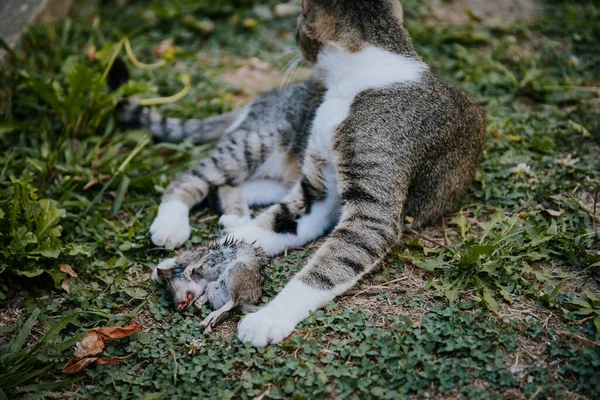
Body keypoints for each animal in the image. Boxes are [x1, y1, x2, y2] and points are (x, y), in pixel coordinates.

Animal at [113, 0, 488, 346]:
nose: (295, 36)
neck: (356, 80)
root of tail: (262, 98)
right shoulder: (318, 190)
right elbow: (266, 227)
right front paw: (194, 260)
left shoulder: (367, 213)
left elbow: (323, 265)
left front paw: (268, 316)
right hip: (260, 139)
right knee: (193, 177)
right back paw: (173, 223)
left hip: (273, 168)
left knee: (230, 186)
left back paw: (229, 217)